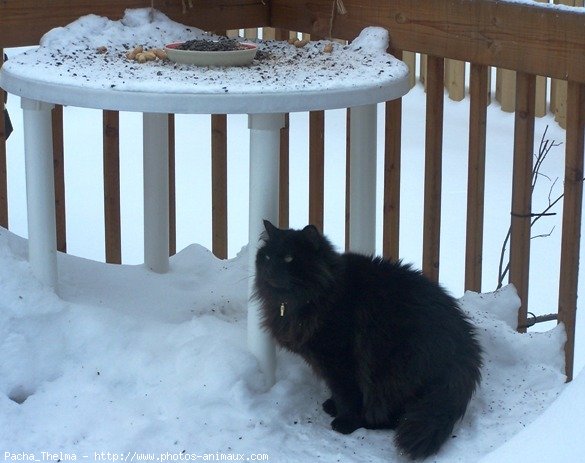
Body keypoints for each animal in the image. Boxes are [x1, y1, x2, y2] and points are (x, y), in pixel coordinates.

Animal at [253, 221, 482, 460]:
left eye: (289, 258)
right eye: (267, 257)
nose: (268, 269)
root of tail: (466, 347)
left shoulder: (340, 359)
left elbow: (346, 393)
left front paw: (345, 423)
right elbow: (338, 392)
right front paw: (333, 406)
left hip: (393, 371)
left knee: (398, 417)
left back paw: (369, 421)